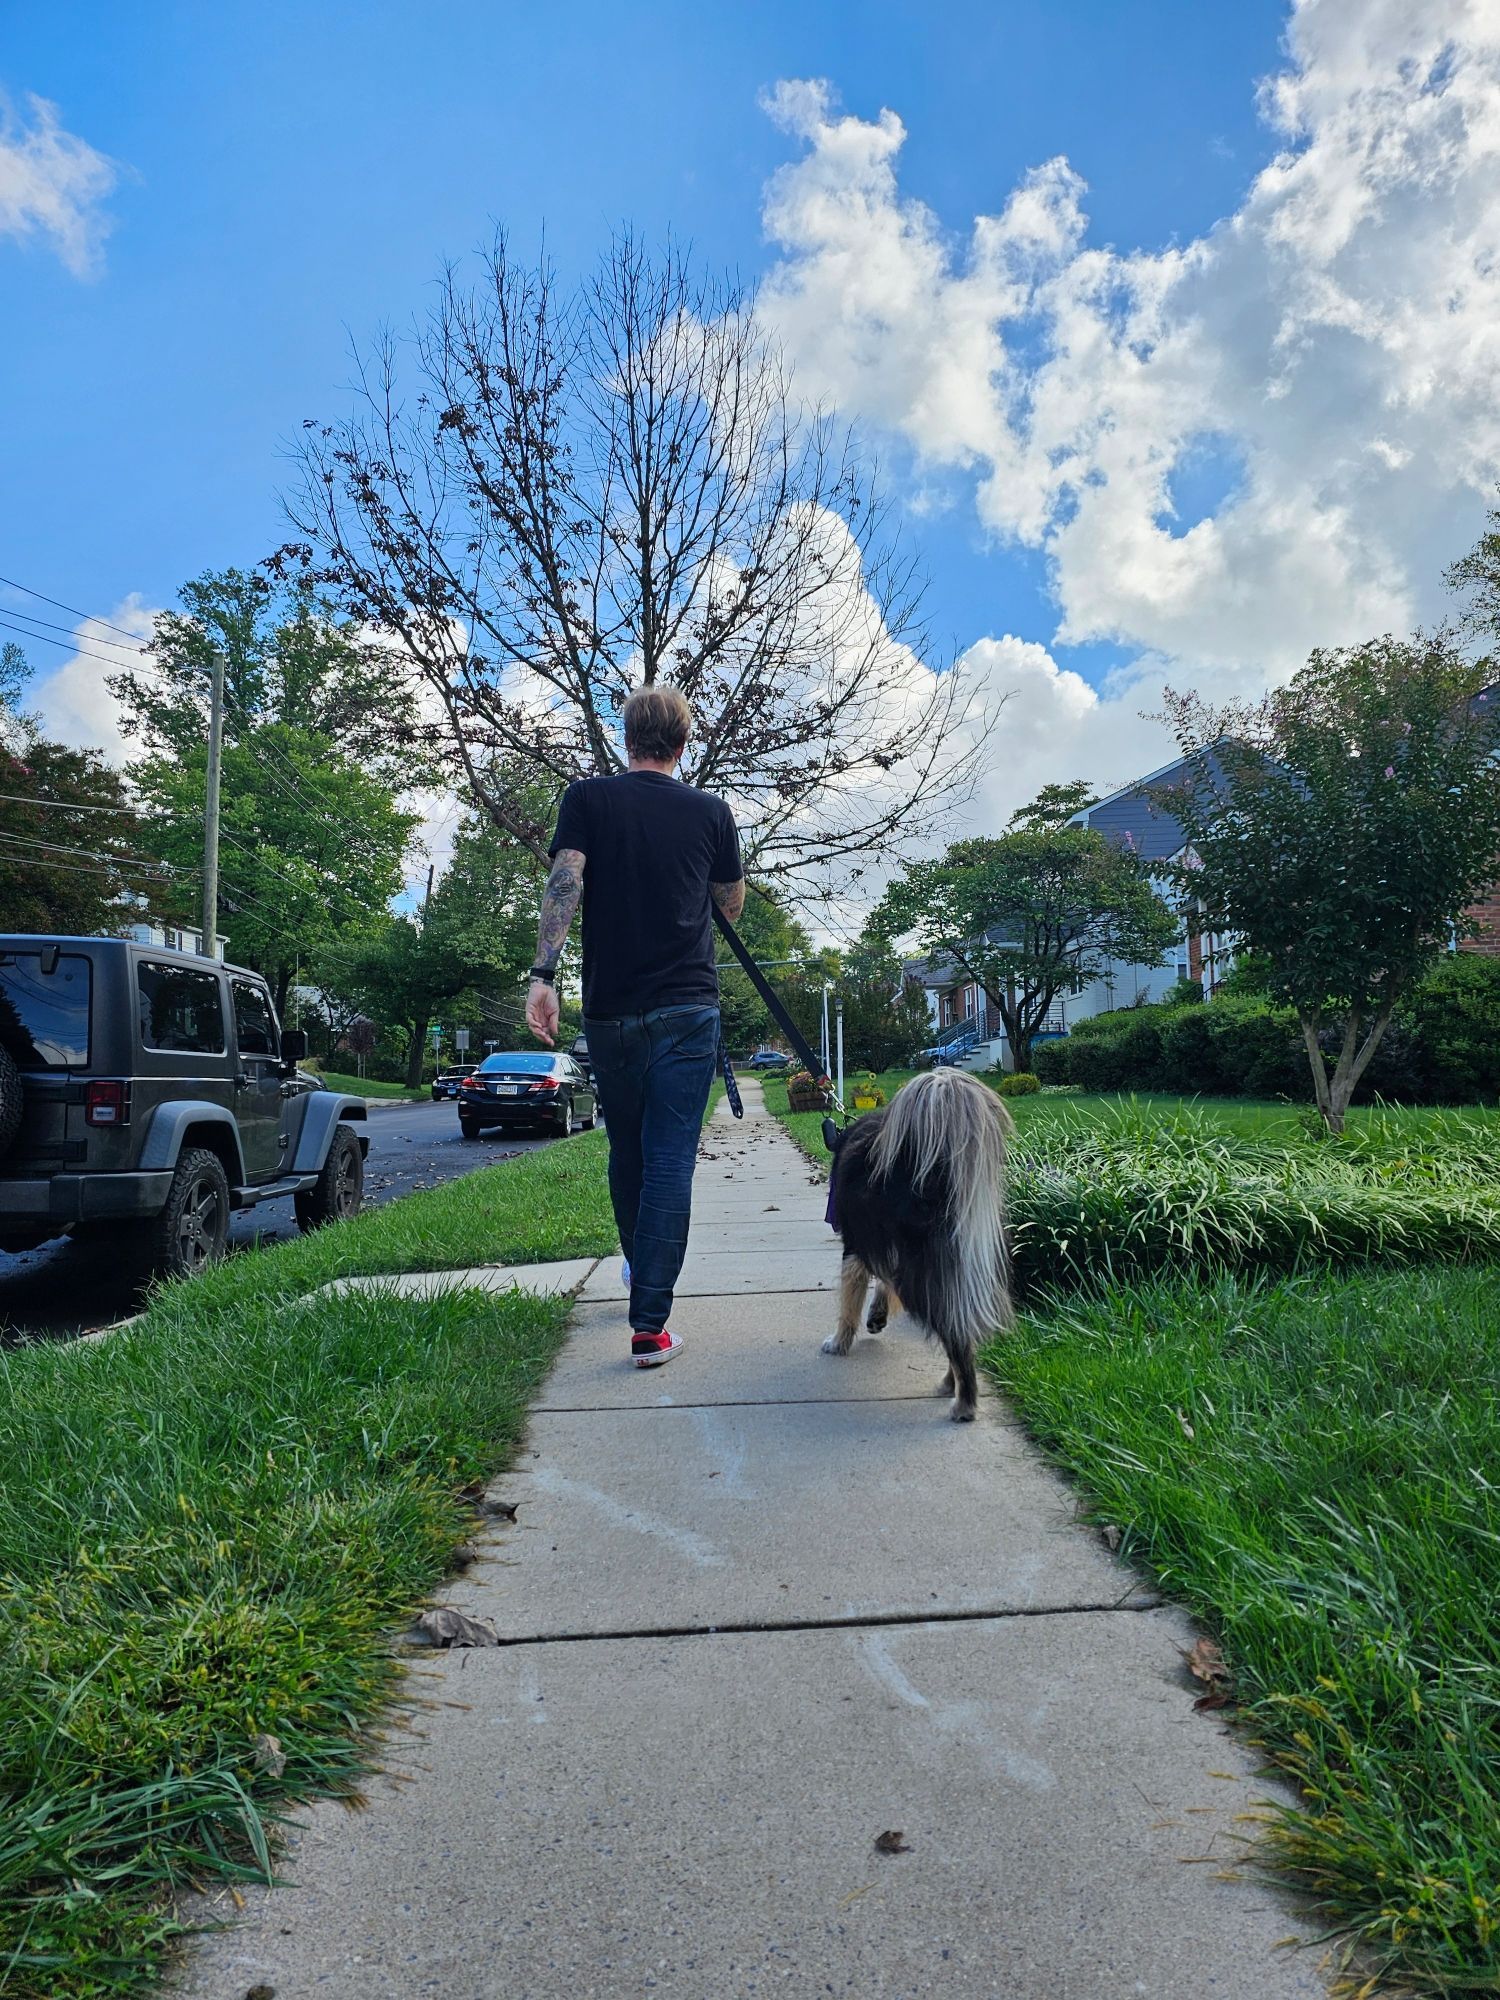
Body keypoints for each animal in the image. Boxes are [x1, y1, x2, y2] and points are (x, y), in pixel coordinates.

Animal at [824, 1072, 1024, 1416]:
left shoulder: (855, 1248)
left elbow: (848, 1306)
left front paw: (839, 1342)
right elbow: (883, 1284)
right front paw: (876, 1315)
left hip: (923, 1269)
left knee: (955, 1332)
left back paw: (963, 1402)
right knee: (961, 1322)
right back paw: (951, 1384)